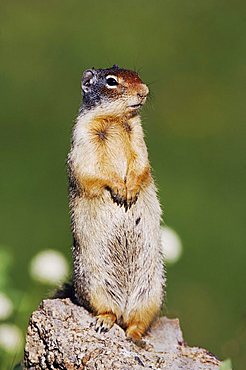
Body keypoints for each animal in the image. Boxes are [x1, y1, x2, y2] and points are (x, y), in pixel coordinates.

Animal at [67, 65, 165, 342]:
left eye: (138, 76)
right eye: (111, 82)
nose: (145, 91)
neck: (116, 121)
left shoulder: (138, 138)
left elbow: (141, 163)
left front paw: (130, 190)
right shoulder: (84, 138)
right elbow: (92, 170)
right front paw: (120, 190)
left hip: (151, 292)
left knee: (137, 321)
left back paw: (134, 336)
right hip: (95, 285)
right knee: (108, 311)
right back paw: (104, 322)